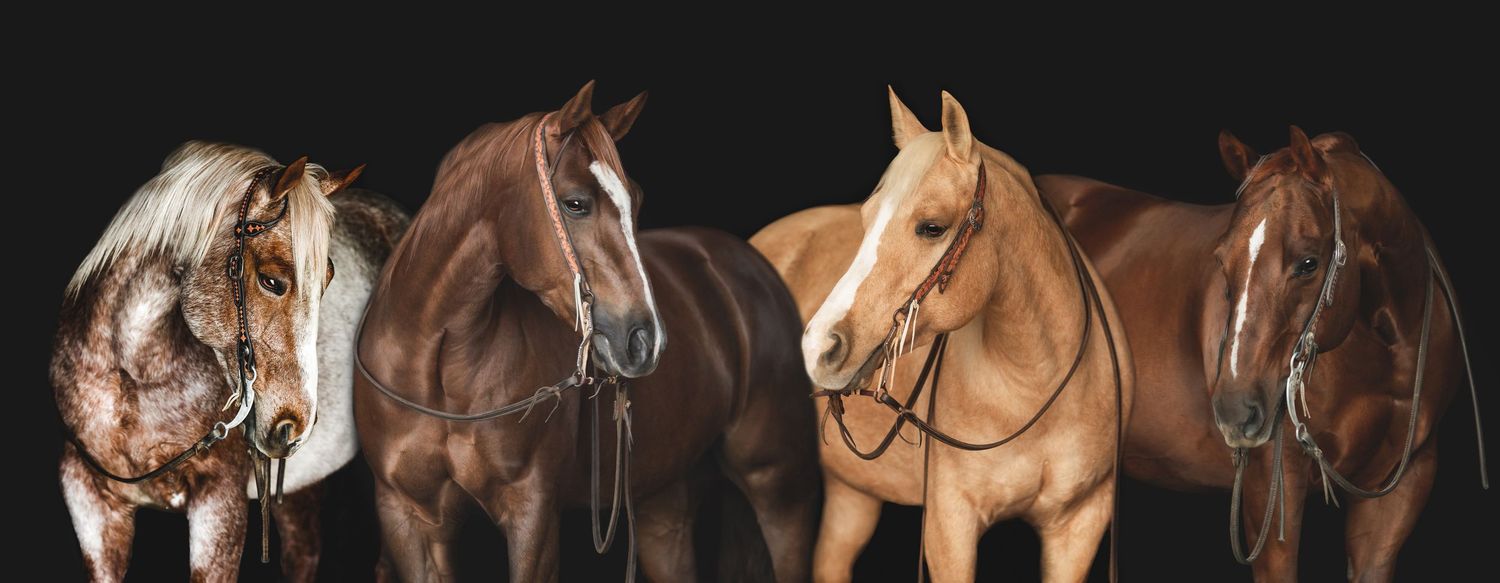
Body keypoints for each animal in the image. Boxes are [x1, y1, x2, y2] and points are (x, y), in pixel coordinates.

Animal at [54, 141, 408, 582]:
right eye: (272, 281)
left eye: (327, 278)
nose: (295, 425)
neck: (131, 378)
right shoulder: (89, 501)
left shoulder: (220, 504)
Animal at [352, 81, 820, 582]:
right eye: (575, 202)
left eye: (636, 199)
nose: (646, 340)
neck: (437, 366)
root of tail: (751, 266)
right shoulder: (409, 517)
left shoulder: (533, 513)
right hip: (662, 505)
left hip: (780, 489)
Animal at [751, 88, 1133, 583]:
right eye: (866, 218)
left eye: (931, 227)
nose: (817, 347)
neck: (1034, 383)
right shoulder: (950, 524)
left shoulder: (1080, 522)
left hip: (853, 492)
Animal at [1041, 126, 1483, 581]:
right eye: (1222, 260)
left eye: (1309, 262)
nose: (1235, 411)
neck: (1385, 354)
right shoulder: (1271, 488)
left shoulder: (1400, 487)